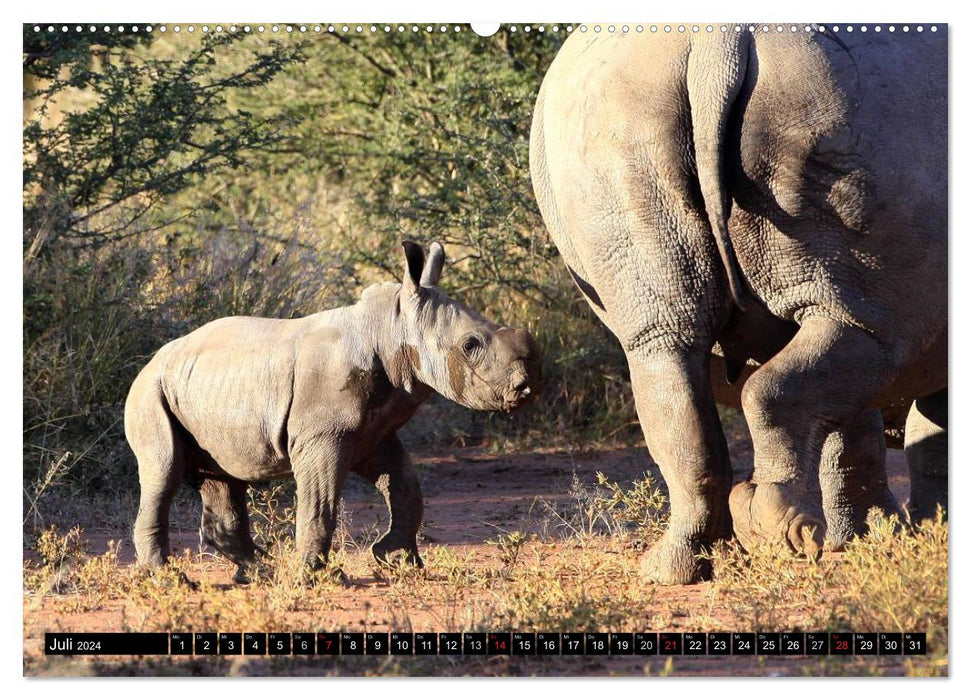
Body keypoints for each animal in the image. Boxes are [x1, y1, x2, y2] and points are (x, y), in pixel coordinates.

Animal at [123, 243, 540, 584]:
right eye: (470, 345)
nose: (523, 387)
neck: (390, 328)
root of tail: (149, 362)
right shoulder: (323, 437)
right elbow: (320, 505)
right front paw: (316, 578)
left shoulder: (375, 432)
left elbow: (406, 487)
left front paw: (399, 562)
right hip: (149, 393)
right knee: (164, 469)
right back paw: (173, 582)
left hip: (202, 387)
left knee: (222, 476)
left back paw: (259, 574)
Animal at [532, 26, 948, 584]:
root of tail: (718, 43)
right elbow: (918, 428)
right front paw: (911, 534)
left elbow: (866, 426)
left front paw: (873, 536)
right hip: (843, 112)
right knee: (863, 339)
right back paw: (789, 537)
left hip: (611, 129)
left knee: (664, 350)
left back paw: (681, 567)